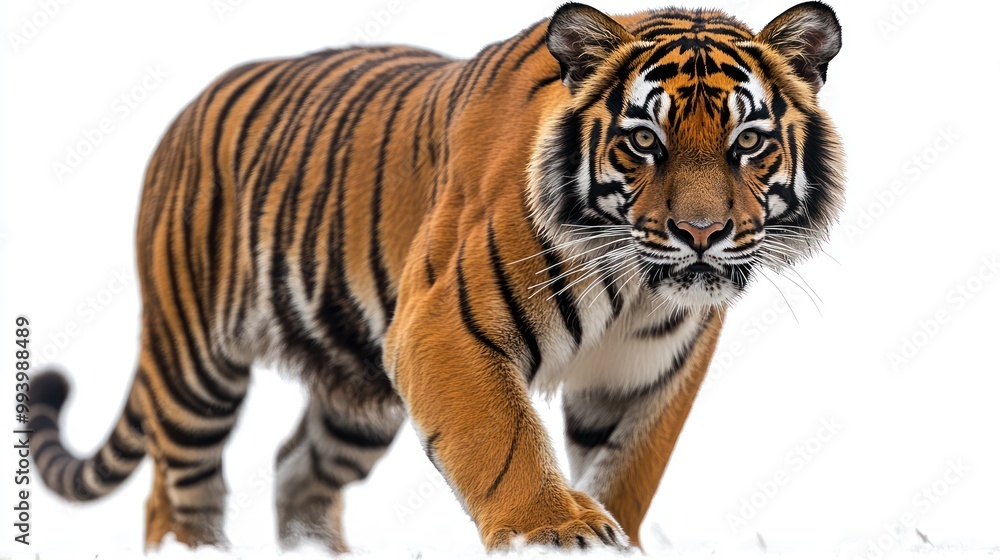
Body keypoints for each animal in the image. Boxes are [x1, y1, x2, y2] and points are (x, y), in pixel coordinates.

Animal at [27, 1, 845, 553]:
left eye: (748, 142)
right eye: (644, 141)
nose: (701, 235)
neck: (637, 287)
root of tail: (183, 113)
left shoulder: (647, 374)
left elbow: (630, 467)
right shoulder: (445, 325)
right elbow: (506, 440)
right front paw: (556, 529)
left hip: (357, 398)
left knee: (298, 469)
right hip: (194, 361)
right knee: (179, 489)